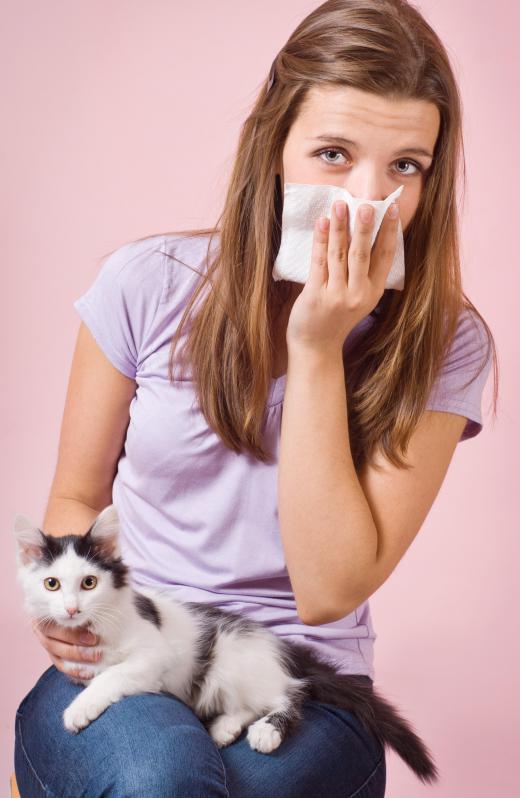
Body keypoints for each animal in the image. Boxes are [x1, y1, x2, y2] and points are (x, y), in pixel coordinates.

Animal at [13, 506, 438, 788]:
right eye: (51, 584)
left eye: (89, 583)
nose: (71, 609)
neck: (102, 622)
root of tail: (282, 651)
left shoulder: (154, 654)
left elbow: (112, 676)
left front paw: (79, 710)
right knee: (250, 703)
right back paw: (225, 728)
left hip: (235, 660)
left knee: (291, 695)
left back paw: (268, 731)